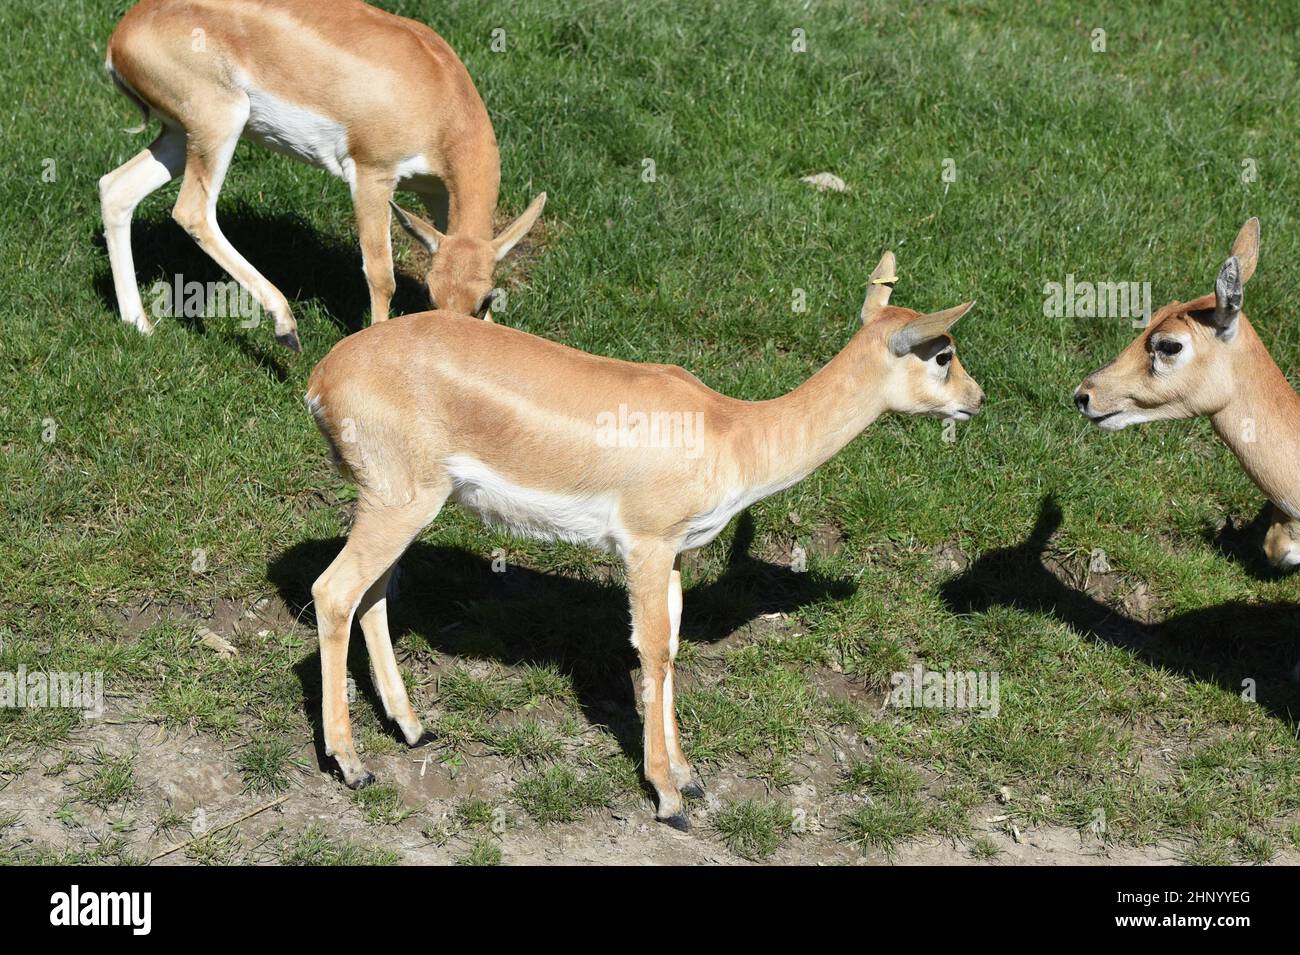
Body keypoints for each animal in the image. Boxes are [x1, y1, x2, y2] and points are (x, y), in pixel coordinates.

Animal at [100, 0, 543, 350]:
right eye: (431, 294)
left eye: (485, 301)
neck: (439, 96)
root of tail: (121, 34)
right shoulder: (371, 175)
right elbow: (380, 275)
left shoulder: (438, 196)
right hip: (221, 122)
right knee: (193, 212)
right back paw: (285, 327)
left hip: (181, 136)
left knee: (116, 189)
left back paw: (139, 324)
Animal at [304, 254, 982, 831]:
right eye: (943, 353)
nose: (977, 400)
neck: (731, 432)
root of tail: (322, 376)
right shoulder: (647, 545)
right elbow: (651, 650)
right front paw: (668, 798)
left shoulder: (676, 552)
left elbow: (674, 648)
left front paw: (691, 776)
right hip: (400, 504)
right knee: (335, 591)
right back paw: (353, 765)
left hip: (404, 510)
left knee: (372, 596)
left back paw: (413, 730)